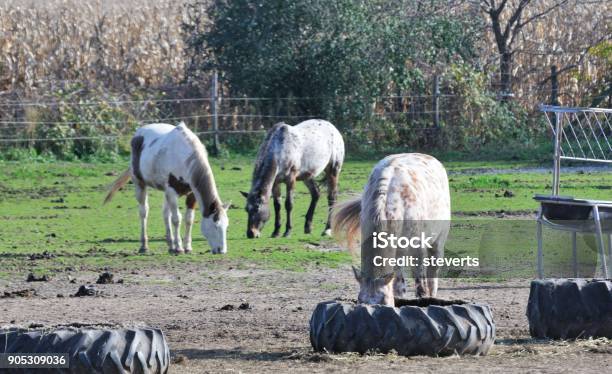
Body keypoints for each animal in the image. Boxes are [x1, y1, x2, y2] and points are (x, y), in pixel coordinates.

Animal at [104, 122, 231, 254]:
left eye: (226, 226)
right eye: (215, 226)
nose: (222, 250)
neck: (184, 157)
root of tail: (138, 133)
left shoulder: (191, 194)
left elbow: (188, 219)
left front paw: (187, 247)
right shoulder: (172, 192)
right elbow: (176, 219)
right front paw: (179, 247)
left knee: (165, 214)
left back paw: (170, 245)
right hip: (140, 185)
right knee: (144, 212)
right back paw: (144, 246)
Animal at [332, 153, 452, 306]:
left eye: (383, 300)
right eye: (360, 300)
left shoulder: (417, 247)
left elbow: (419, 278)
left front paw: (422, 297)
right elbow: (398, 285)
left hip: (437, 243)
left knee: (432, 273)